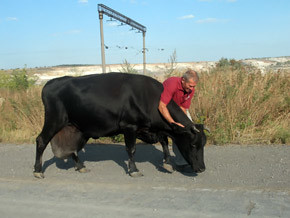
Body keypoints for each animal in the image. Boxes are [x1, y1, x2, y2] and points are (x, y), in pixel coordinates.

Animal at [33, 72, 206, 178]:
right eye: (192, 145)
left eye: (203, 144)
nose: (202, 168)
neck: (151, 99)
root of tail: (51, 82)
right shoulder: (129, 126)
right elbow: (131, 149)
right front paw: (134, 170)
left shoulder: (150, 129)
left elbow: (164, 141)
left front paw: (168, 163)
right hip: (54, 120)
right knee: (41, 140)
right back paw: (38, 171)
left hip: (76, 127)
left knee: (72, 148)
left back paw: (81, 166)